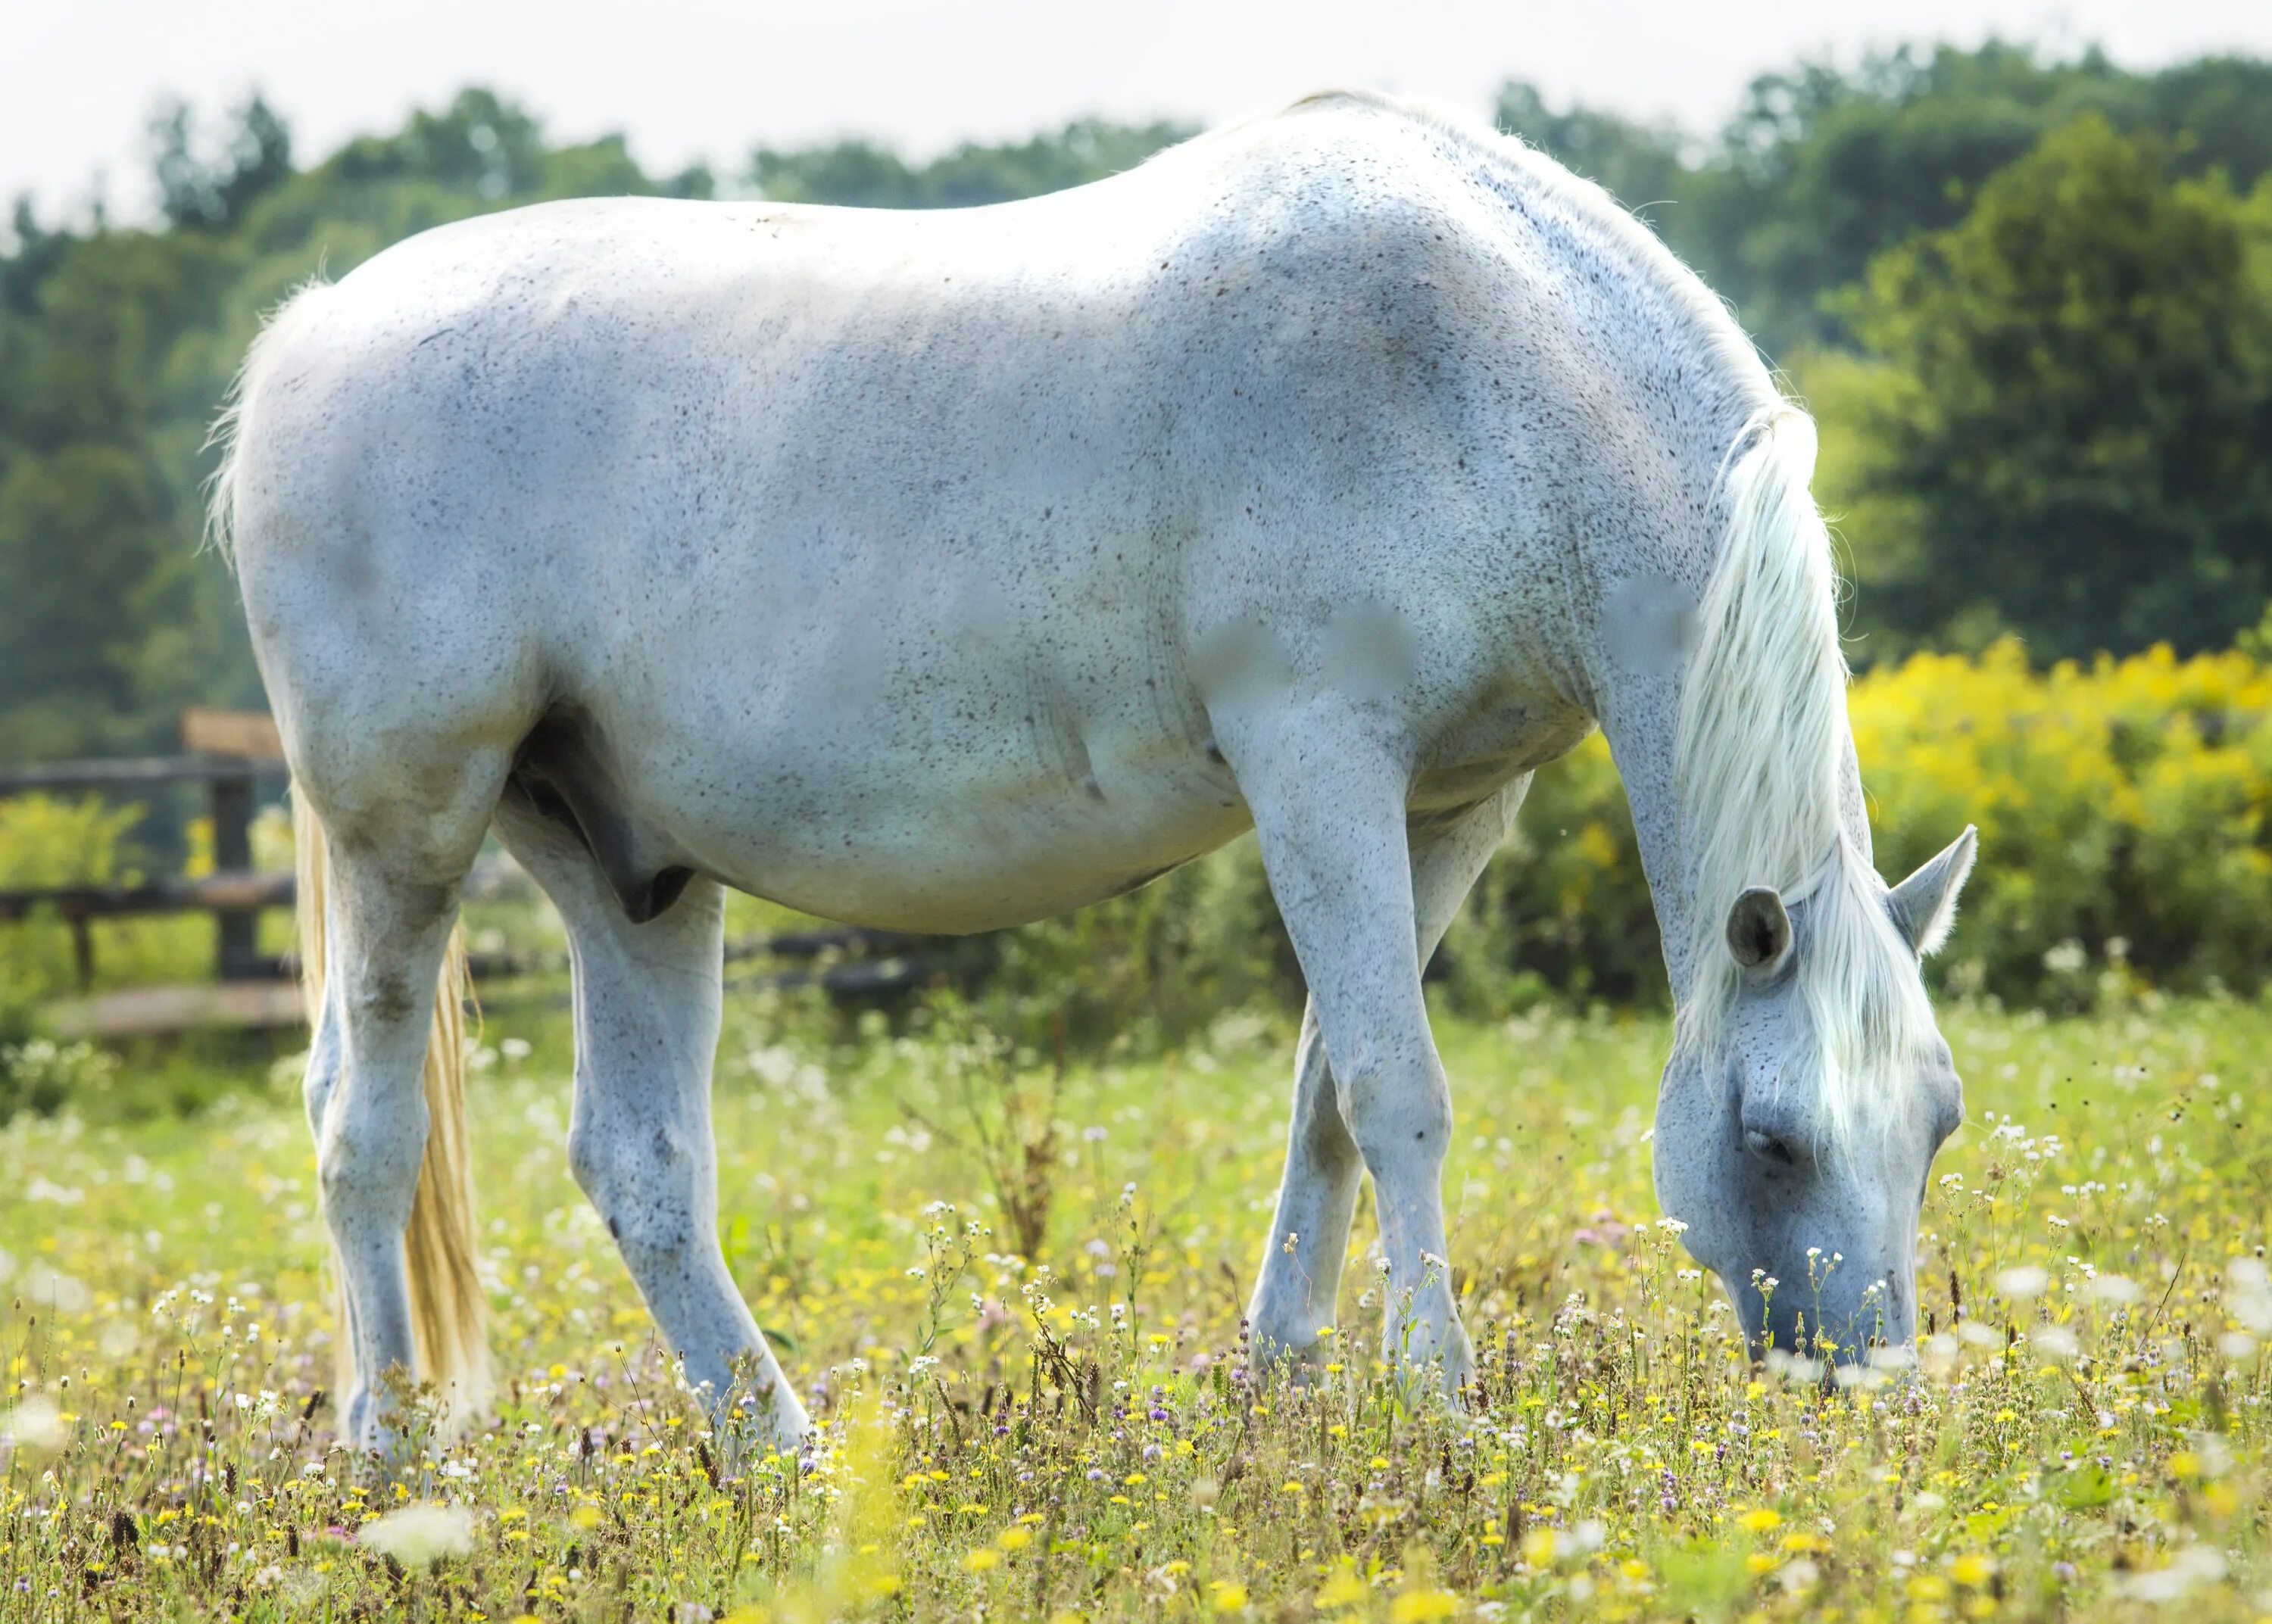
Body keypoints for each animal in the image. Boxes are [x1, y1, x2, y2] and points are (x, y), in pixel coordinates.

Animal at [221, 89, 1981, 1454]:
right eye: (1774, 1139)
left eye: (1941, 1123)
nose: (1873, 1404)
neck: (1483, 363)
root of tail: (305, 332)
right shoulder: (1316, 763)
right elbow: (1397, 1090)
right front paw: (1442, 1402)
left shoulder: (1450, 807)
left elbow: (1322, 1102)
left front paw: (1285, 1392)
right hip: (407, 836)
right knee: (362, 1124)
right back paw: (393, 1466)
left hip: (626, 868)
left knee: (640, 1167)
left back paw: (786, 1462)